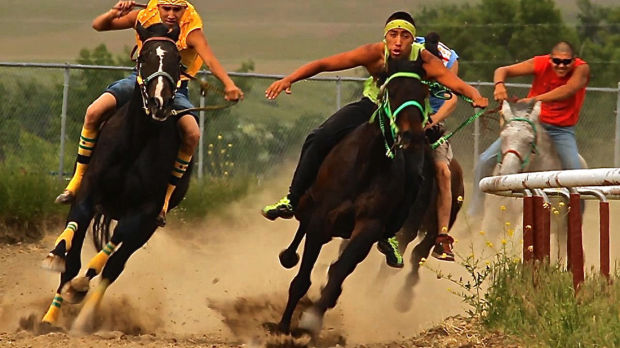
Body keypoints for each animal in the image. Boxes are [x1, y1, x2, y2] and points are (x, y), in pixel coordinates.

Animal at [274, 57, 434, 338]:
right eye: (392, 91)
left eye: (423, 92)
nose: (412, 135)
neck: (368, 164)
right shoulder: (321, 220)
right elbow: (302, 279)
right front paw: (284, 325)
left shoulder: (368, 228)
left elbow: (339, 270)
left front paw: (313, 319)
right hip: (310, 208)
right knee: (300, 229)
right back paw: (287, 251)